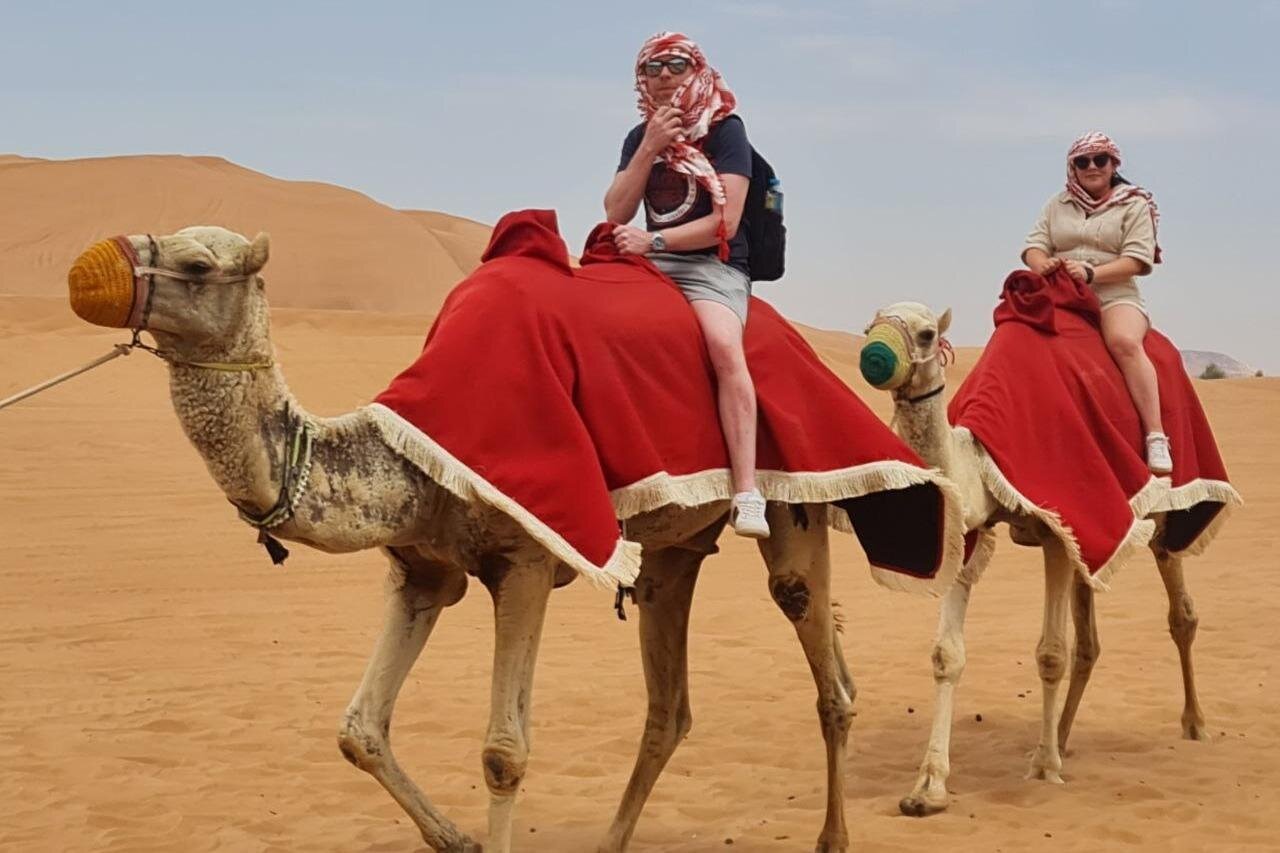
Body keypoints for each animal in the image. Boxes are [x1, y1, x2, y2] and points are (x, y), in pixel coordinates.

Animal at [66, 226, 873, 853]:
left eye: (198, 264)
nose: (88, 270)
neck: (402, 464)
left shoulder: (525, 561)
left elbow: (502, 753)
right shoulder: (422, 570)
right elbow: (358, 729)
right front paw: (457, 837)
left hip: (790, 498)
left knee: (822, 666)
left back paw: (833, 836)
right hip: (675, 547)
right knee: (670, 700)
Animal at [859, 302, 1224, 818]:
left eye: (928, 333)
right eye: (869, 326)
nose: (874, 356)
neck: (979, 455)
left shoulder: (1056, 525)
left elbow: (1051, 653)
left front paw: (1043, 768)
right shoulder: (973, 527)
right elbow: (947, 655)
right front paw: (927, 788)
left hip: (1166, 516)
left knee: (1181, 613)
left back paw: (1194, 723)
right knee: (1089, 641)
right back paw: (1063, 736)